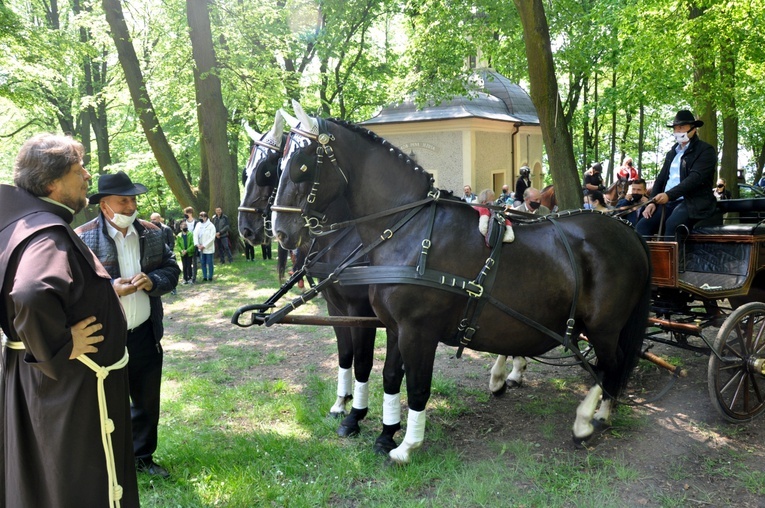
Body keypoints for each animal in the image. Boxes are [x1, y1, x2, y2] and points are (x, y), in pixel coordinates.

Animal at [272, 102, 648, 464]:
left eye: (301, 166)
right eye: (279, 164)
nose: (279, 232)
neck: (410, 229)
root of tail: (625, 229)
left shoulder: (417, 330)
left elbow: (418, 387)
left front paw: (406, 446)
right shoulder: (393, 326)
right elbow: (391, 376)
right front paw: (385, 434)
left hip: (603, 326)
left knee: (610, 364)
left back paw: (588, 419)